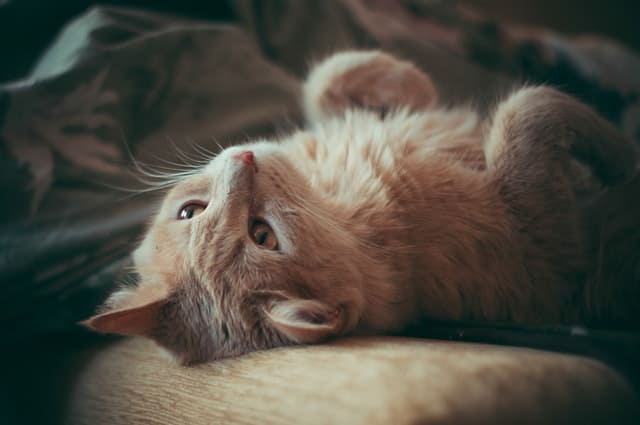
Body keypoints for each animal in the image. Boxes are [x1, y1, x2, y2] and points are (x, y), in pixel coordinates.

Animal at [82, 50, 636, 364]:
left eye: (189, 212)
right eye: (263, 235)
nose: (245, 159)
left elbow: (328, 76)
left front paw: (405, 81)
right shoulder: (539, 235)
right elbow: (529, 107)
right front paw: (623, 157)